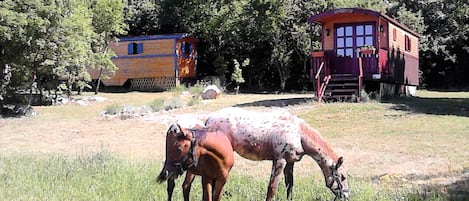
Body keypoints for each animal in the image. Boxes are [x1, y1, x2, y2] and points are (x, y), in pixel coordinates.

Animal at [205, 107, 348, 201]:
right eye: (342, 177)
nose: (347, 196)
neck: (299, 134)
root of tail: (209, 119)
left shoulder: (290, 162)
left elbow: (289, 185)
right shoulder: (279, 161)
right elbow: (272, 189)